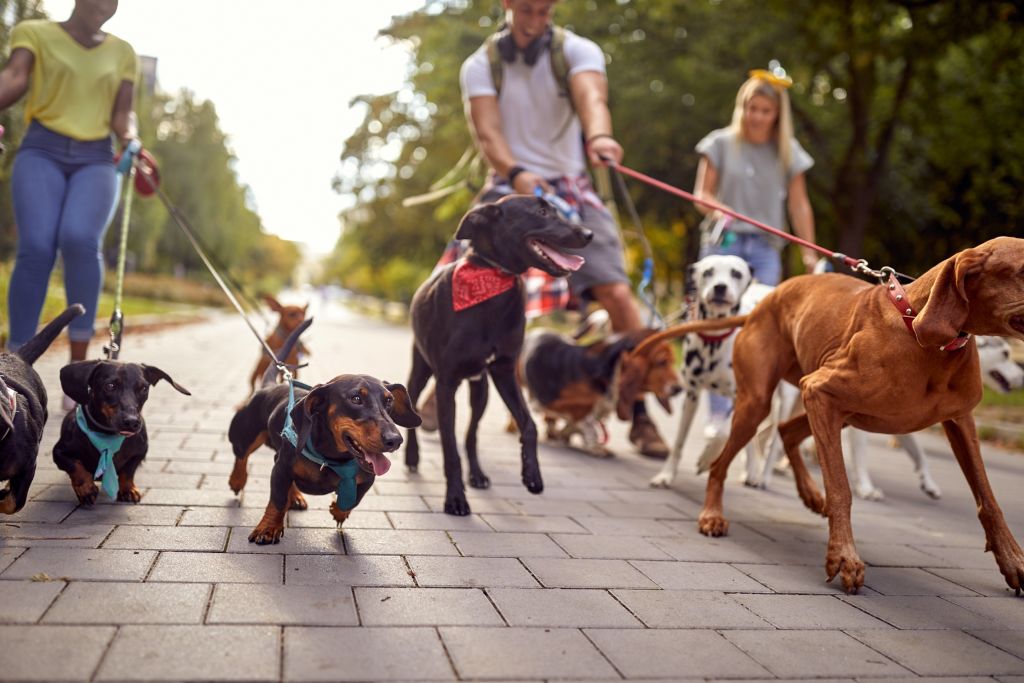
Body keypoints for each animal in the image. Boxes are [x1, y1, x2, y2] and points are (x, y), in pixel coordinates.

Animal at [53, 360, 190, 505]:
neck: (108, 435)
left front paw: (128, 489)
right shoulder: (58, 452)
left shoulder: (140, 453)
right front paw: (86, 489)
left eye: (144, 388)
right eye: (110, 386)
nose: (132, 422)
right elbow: (75, 465)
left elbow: (128, 471)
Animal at [399, 194, 593, 516]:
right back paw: (412, 458)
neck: (493, 280)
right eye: (541, 211)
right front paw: (455, 498)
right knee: (415, 406)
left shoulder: (504, 372)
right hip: (420, 369)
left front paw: (532, 476)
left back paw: (477, 474)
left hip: (481, 390)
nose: (589, 234)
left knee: (472, 434)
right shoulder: (446, 383)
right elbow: (449, 448)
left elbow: (529, 425)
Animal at [651, 253, 770, 489]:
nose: (720, 287)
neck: (715, 340)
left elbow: (723, 432)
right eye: (708, 272)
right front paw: (666, 475)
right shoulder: (691, 395)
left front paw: (707, 459)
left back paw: (753, 472)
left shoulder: (741, 396)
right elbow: (679, 442)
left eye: (736, 273)